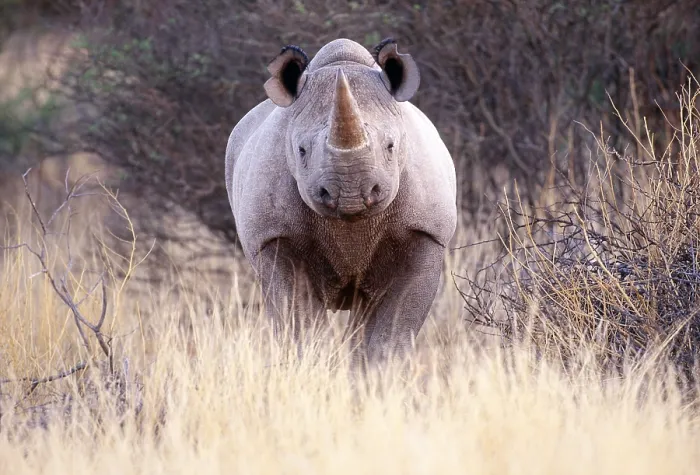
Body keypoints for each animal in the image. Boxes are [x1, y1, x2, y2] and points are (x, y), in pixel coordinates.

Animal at [225, 38, 456, 366]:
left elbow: (392, 334)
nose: (350, 192)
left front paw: (382, 376)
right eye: (301, 150)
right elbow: (300, 326)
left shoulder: (426, 232)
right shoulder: (272, 235)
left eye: (391, 146)